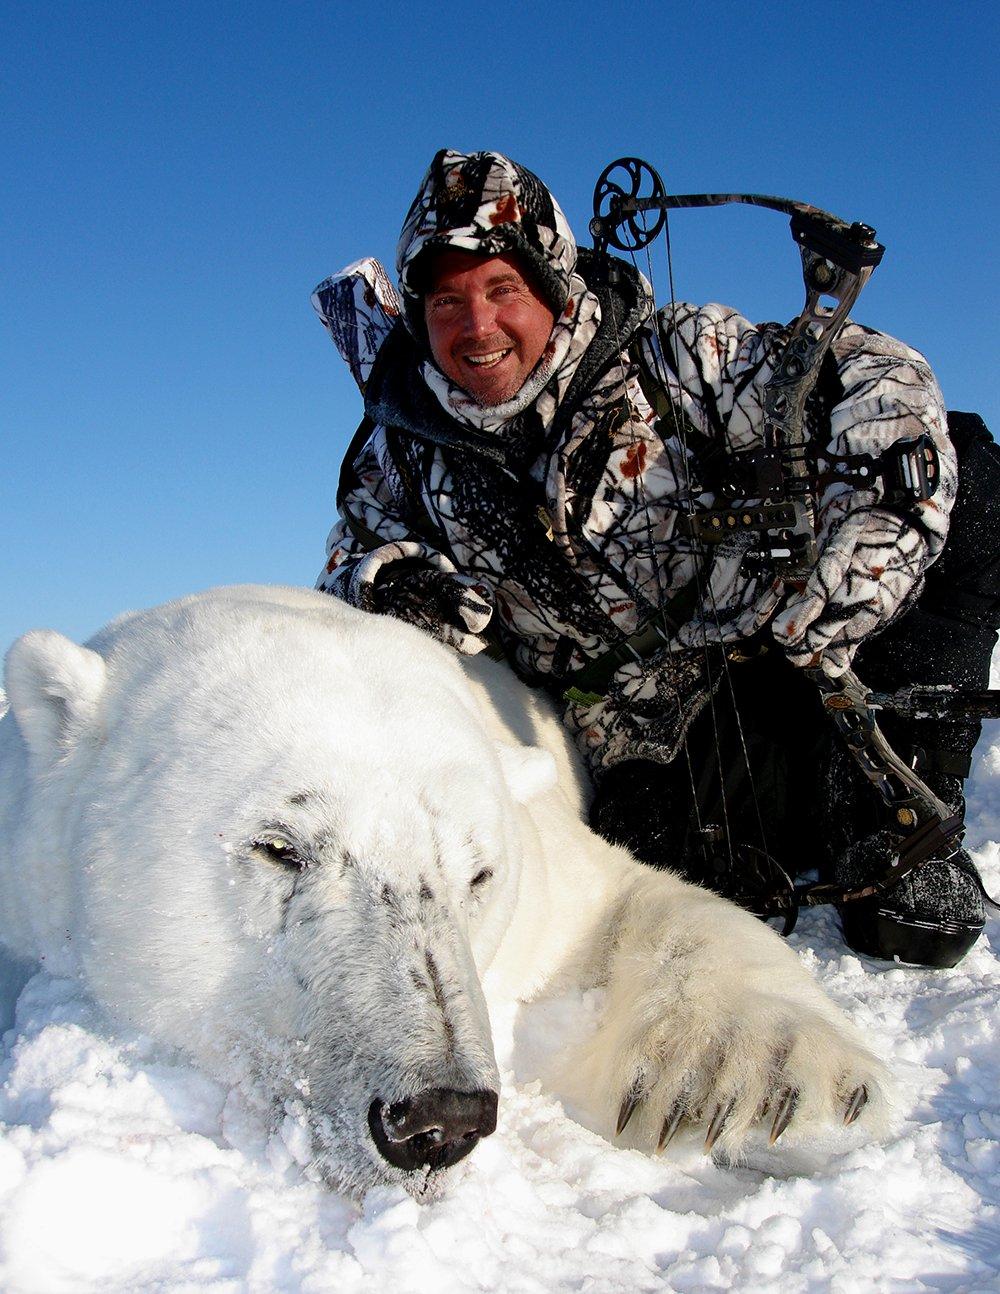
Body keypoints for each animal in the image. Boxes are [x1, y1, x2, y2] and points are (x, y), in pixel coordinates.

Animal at [0, 587, 890, 1190]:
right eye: (279, 848)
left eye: (477, 872)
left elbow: (624, 898)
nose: (439, 1118)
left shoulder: (541, 862)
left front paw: (761, 1080)